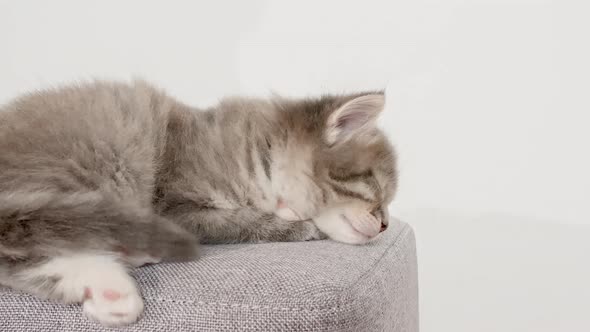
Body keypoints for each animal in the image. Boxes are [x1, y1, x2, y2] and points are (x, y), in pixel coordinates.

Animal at [0, 80, 400, 324]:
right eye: (376, 188)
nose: (385, 225)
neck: (258, 153)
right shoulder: (175, 206)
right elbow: (244, 220)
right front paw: (300, 224)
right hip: (94, 161)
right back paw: (113, 286)